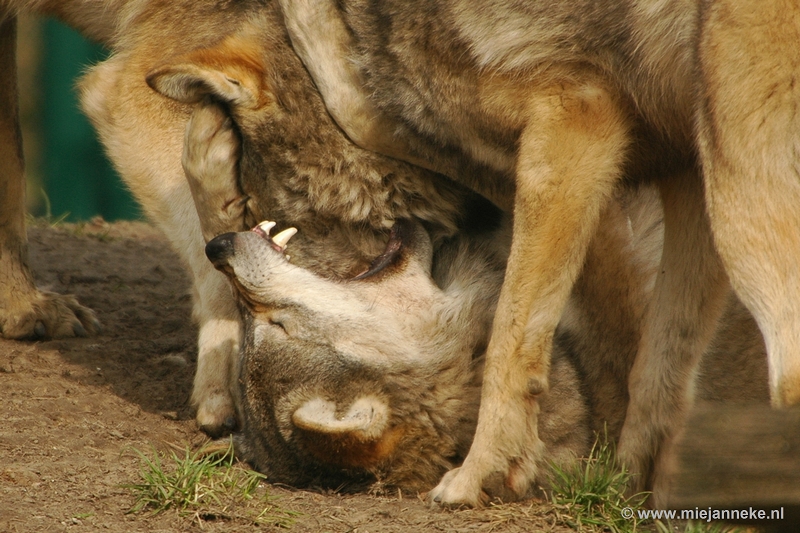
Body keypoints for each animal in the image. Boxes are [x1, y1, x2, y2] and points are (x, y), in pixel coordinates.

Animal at [274, 0, 800, 502]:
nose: (234, 245)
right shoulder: (684, 167)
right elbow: (656, 368)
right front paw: (630, 490)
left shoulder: (573, 125)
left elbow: (510, 340)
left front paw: (482, 472)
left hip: (739, 200)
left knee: (788, 376)